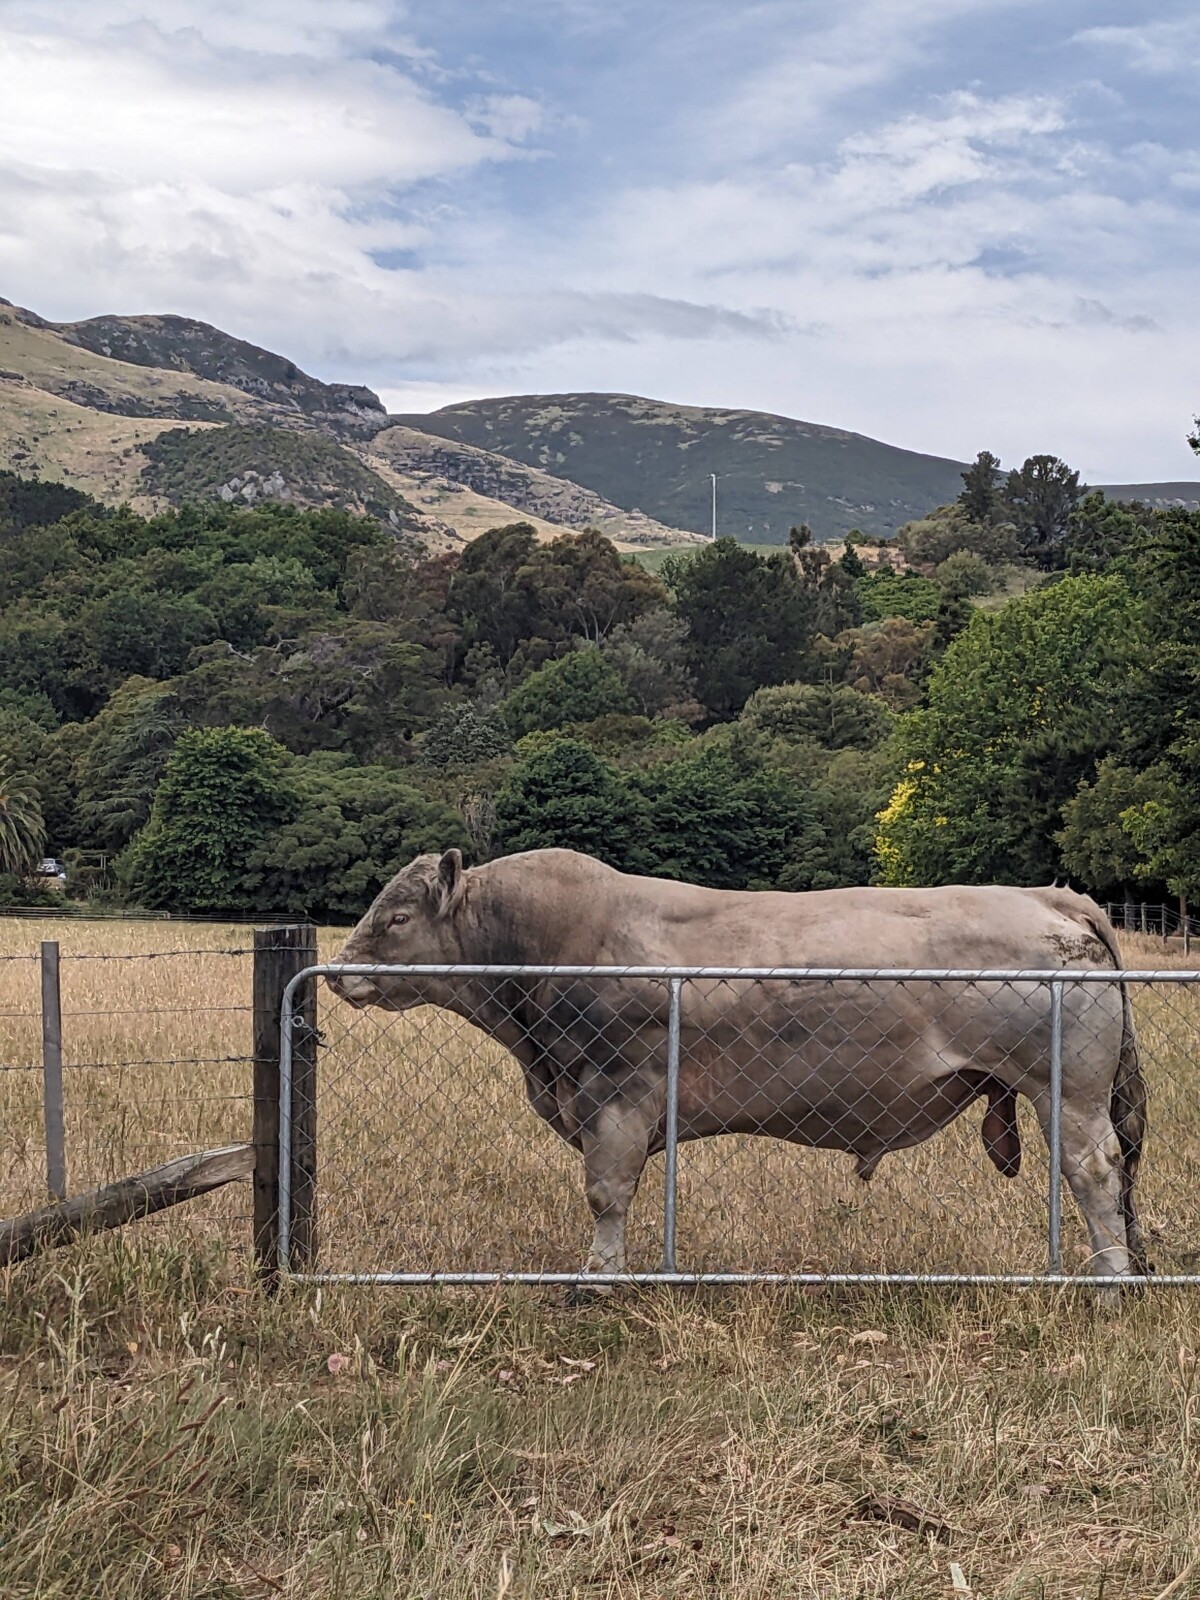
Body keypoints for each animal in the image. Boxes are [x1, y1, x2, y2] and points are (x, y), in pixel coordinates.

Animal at [328, 847, 1147, 1286]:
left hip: (1068, 1091)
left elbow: (605, 1194)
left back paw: (1109, 1283)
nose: (337, 973)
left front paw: (596, 1281)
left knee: (1094, 1172)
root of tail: (1051, 897)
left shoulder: (615, 1093)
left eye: (396, 917)